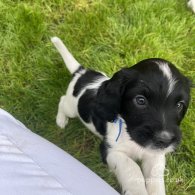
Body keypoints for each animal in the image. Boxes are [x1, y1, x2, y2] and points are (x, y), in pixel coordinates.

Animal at [51, 37, 190, 195]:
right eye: (140, 100)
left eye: (179, 105)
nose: (164, 140)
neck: (131, 136)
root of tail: (83, 73)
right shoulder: (110, 150)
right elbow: (132, 168)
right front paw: (138, 191)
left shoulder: (154, 154)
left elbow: (155, 176)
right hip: (72, 107)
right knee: (62, 100)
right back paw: (61, 120)